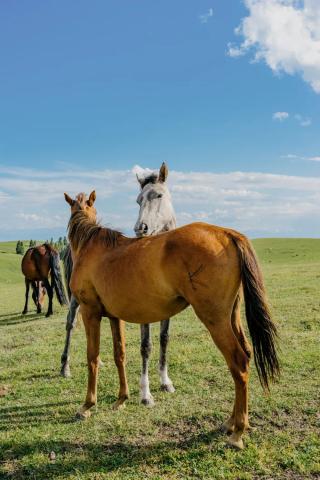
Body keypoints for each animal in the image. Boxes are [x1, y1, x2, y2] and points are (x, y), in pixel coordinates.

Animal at [60, 163, 178, 404]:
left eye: (159, 195)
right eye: (138, 200)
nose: (141, 228)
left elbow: (164, 338)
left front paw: (165, 381)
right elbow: (145, 345)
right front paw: (145, 393)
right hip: (77, 298)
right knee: (70, 322)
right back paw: (65, 367)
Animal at [63, 190, 278, 450]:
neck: (91, 248)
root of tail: (227, 233)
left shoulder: (90, 312)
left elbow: (93, 358)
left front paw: (87, 405)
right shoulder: (115, 317)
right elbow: (119, 355)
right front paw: (121, 399)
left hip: (215, 320)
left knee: (239, 363)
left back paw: (238, 432)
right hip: (231, 317)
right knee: (246, 353)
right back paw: (231, 422)